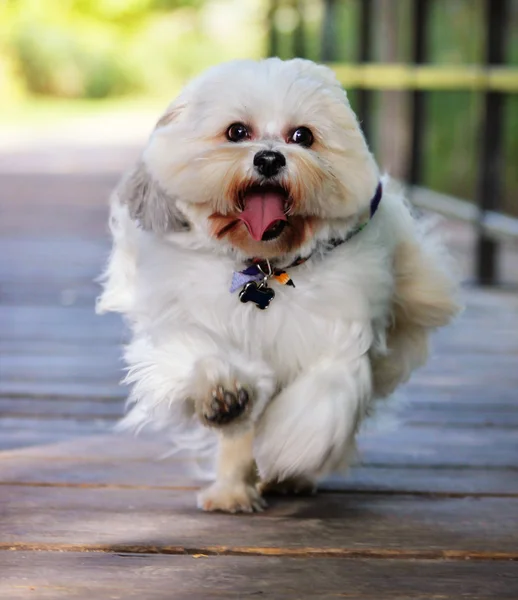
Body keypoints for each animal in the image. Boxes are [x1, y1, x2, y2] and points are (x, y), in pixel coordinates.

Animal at [97, 58, 464, 512]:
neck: (264, 266)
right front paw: (224, 395)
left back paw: (287, 477)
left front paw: (287, 450)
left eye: (302, 136)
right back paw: (232, 492)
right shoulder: (185, 317)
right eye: (237, 132)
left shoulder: (337, 334)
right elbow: (199, 353)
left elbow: (323, 396)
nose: (270, 158)